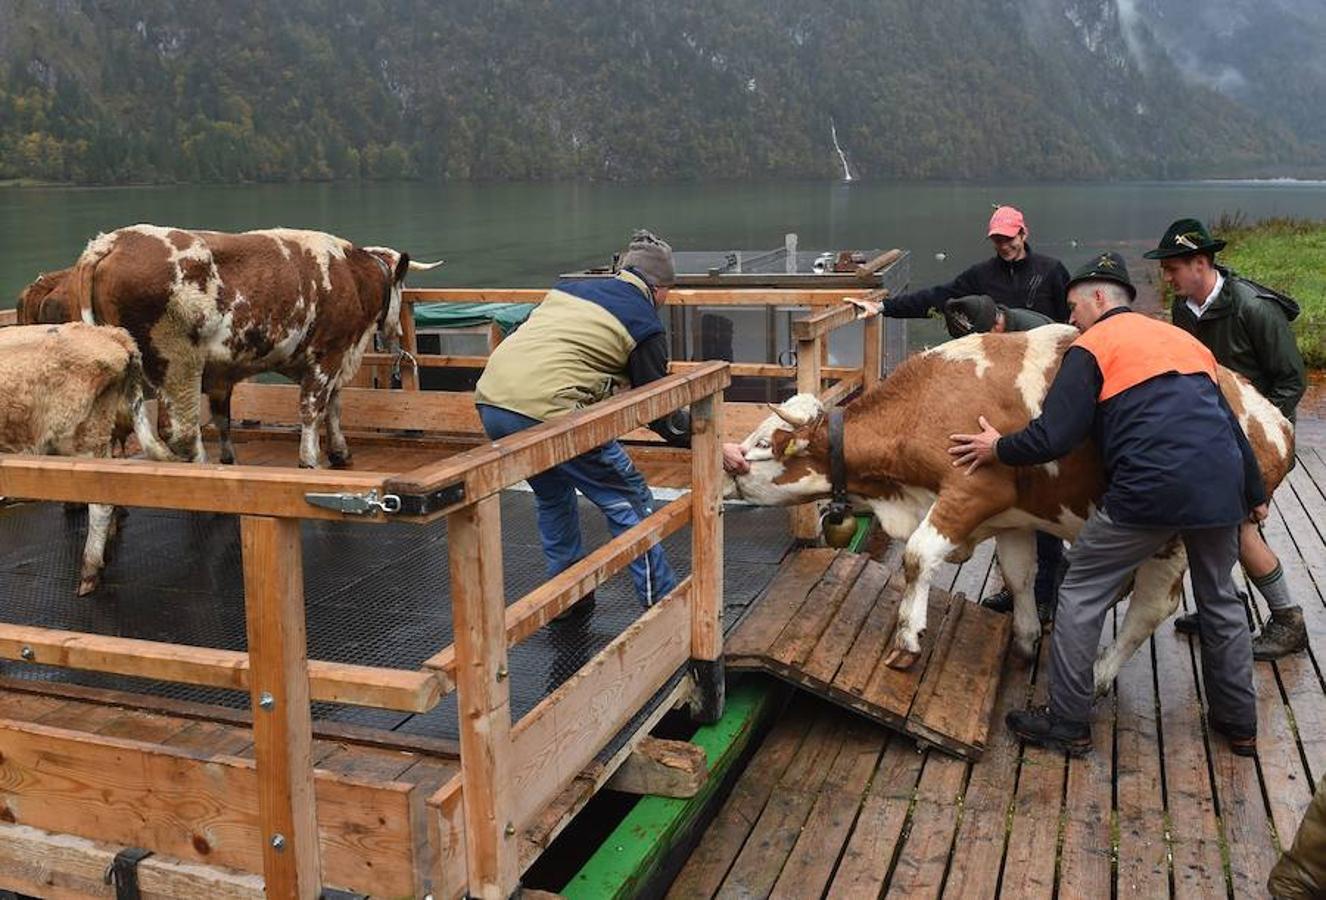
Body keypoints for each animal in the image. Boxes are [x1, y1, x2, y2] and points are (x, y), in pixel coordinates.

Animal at [31, 224, 440, 469]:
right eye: (401, 286)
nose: (396, 333)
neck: (350, 274)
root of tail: (111, 242)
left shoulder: (235, 372)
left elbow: (325, 406)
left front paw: (338, 450)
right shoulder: (330, 351)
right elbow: (313, 408)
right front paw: (311, 459)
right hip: (178, 363)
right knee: (182, 431)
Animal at [726, 326, 1294, 694]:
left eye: (765, 443)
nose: (729, 461)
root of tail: (1270, 416)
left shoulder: (971, 491)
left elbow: (916, 556)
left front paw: (907, 641)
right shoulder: (1012, 517)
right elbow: (1020, 575)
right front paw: (1023, 641)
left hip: (1171, 534)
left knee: (1152, 607)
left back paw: (1099, 674)